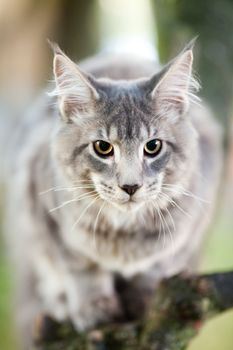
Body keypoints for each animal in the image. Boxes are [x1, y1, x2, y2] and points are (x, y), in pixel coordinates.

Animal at [4, 39, 221, 348]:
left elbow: (153, 268)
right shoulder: (41, 212)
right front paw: (94, 307)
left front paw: (143, 301)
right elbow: (81, 268)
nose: (130, 186)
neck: (124, 231)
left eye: (153, 146)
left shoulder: (189, 227)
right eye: (103, 148)